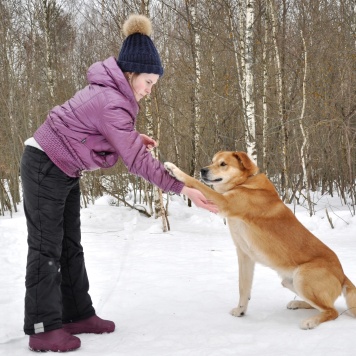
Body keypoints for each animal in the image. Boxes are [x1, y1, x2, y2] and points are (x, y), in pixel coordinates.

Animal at [164, 152, 356, 330]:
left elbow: (195, 183)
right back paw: (298, 303)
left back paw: (310, 321)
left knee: (332, 311)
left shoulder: (224, 202)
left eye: (223, 164)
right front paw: (241, 310)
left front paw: (174, 169)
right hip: (289, 281)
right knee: (323, 306)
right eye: (212, 161)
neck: (245, 182)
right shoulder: (244, 256)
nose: (203, 170)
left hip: (303, 277)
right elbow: (243, 287)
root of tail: (343, 276)